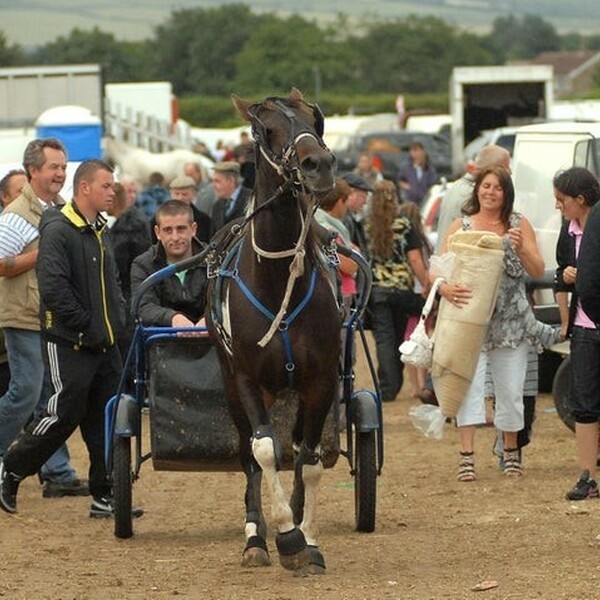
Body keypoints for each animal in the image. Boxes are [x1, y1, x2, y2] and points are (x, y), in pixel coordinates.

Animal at [205, 88, 340, 572]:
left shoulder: (321, 379)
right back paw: (255, 540)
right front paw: (284, 536)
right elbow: (264, 451)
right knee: (250, 453)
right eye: (265, 130)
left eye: (316, 120)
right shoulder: (247, 378)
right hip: (229, 383)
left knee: (300, 449)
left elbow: (311, 460)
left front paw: (309, 538)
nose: (318, 164)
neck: (279, 275)